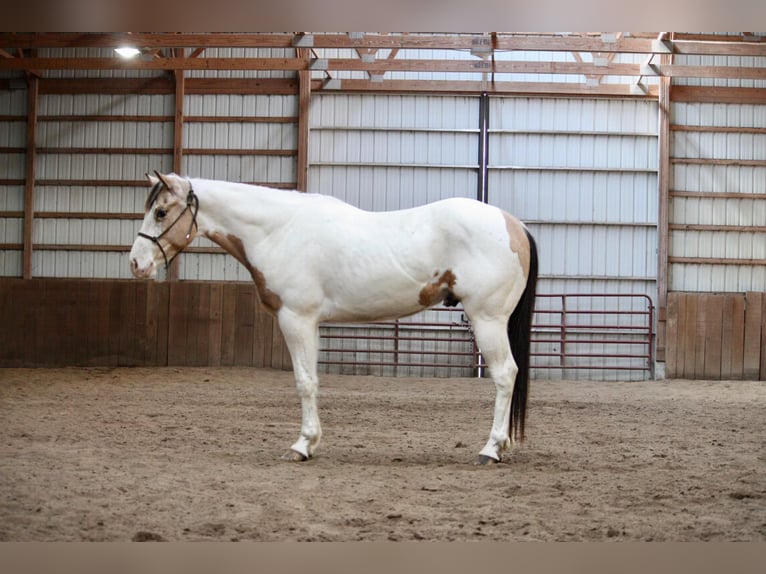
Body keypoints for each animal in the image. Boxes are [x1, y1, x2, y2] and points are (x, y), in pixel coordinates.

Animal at [129, 173, 540, 466]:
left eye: (161, 212)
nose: (136, 264)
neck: (280, 230)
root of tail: (513, 224)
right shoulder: (309, 323)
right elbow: (312, 380)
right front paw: (310, 443)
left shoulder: (296, 319)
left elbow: (304, 383)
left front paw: (301, 446)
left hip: (487, 319)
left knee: (505, 375)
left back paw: (490, 449)